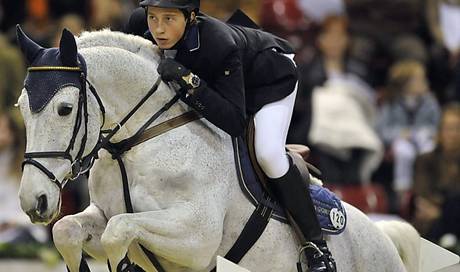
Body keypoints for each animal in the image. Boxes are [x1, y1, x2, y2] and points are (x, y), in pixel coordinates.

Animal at [17, 28, 420, 272]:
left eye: (64, 109)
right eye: (20, 108)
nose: (33, 202)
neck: (137, 143)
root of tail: (385, 236)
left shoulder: (197, 236)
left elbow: (119, 231)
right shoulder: (103, 213)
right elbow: (67, 229)